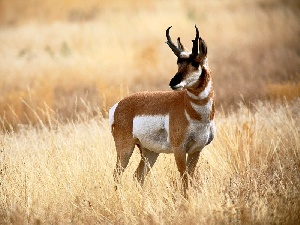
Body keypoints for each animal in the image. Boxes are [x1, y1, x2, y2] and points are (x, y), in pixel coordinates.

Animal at [109, 25, 214, 197]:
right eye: (178, 62)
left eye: (195, 63)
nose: (173, 82)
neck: (195, 114)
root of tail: (118, 106)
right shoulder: (179, 150)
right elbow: (184, 179)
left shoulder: (196, 150)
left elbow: (190, 179)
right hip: (125, 149)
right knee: (117, 175)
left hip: (150, 152)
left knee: (138, 176)